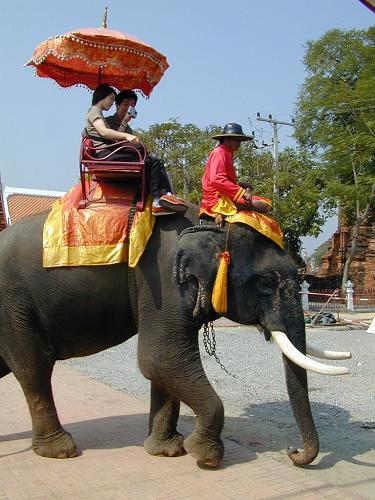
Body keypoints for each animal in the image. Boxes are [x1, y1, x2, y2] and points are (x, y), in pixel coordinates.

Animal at [0, 203, 352, 464]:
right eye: (266, 282)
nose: (293, 452)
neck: (209, 223)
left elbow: (164, 368)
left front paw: (168, 451)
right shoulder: (162, 281)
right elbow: (160, 359)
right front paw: (204, 454)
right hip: (14, 305)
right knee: (34, 368)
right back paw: (61, 451)